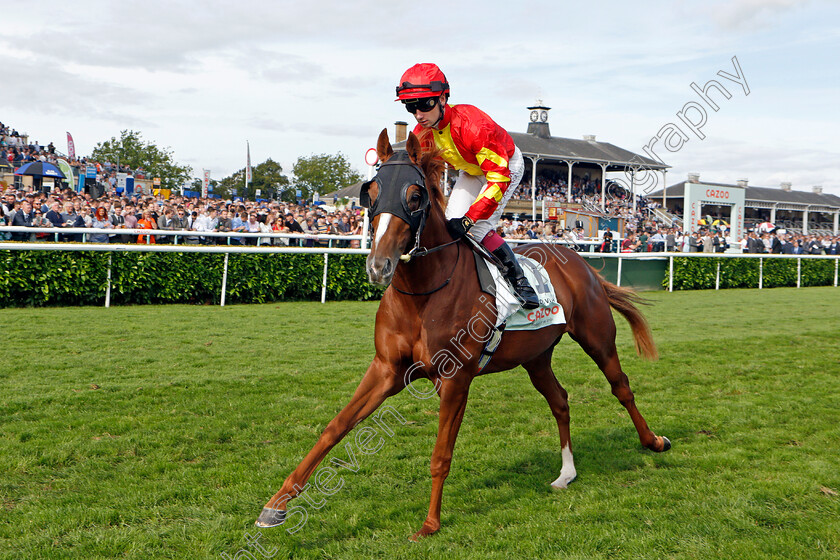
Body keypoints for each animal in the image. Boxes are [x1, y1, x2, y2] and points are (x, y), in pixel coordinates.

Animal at [256, 129, 668, 540]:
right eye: (370, 193)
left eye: (415, 196)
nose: (378, 266)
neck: (423, 293)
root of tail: (581, 262)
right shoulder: (387, 369)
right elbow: (335, 427)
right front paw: (275, 505)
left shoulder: (454, 379)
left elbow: (441, 454)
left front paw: (430, 523)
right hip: (536, 357)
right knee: (560, 401)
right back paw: (566, 473)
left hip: (597, 337)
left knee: (621, 387)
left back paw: (652, 440)